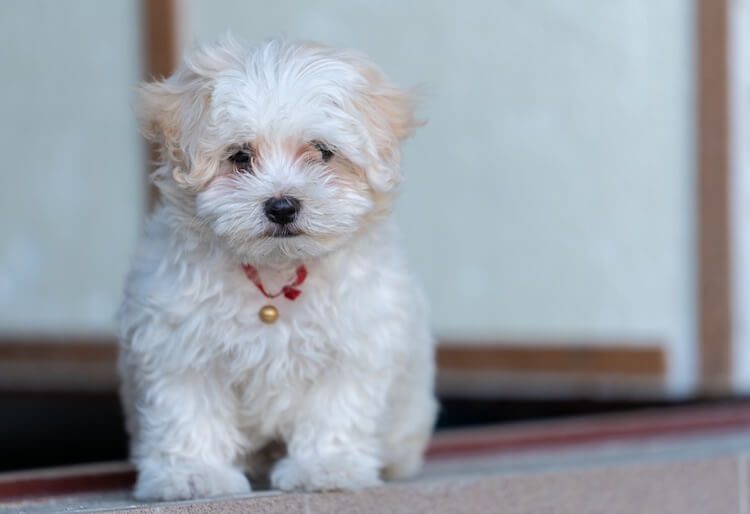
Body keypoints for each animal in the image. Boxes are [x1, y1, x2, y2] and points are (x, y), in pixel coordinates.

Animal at [117, 37, 434, 500]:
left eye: (322, 152)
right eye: (240, 157)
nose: (282, 206)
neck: (276, 270)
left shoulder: (352, 343)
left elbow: (335, 408)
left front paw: (326, 467)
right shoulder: (179, 342)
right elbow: (188, 408)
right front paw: (193, 474)